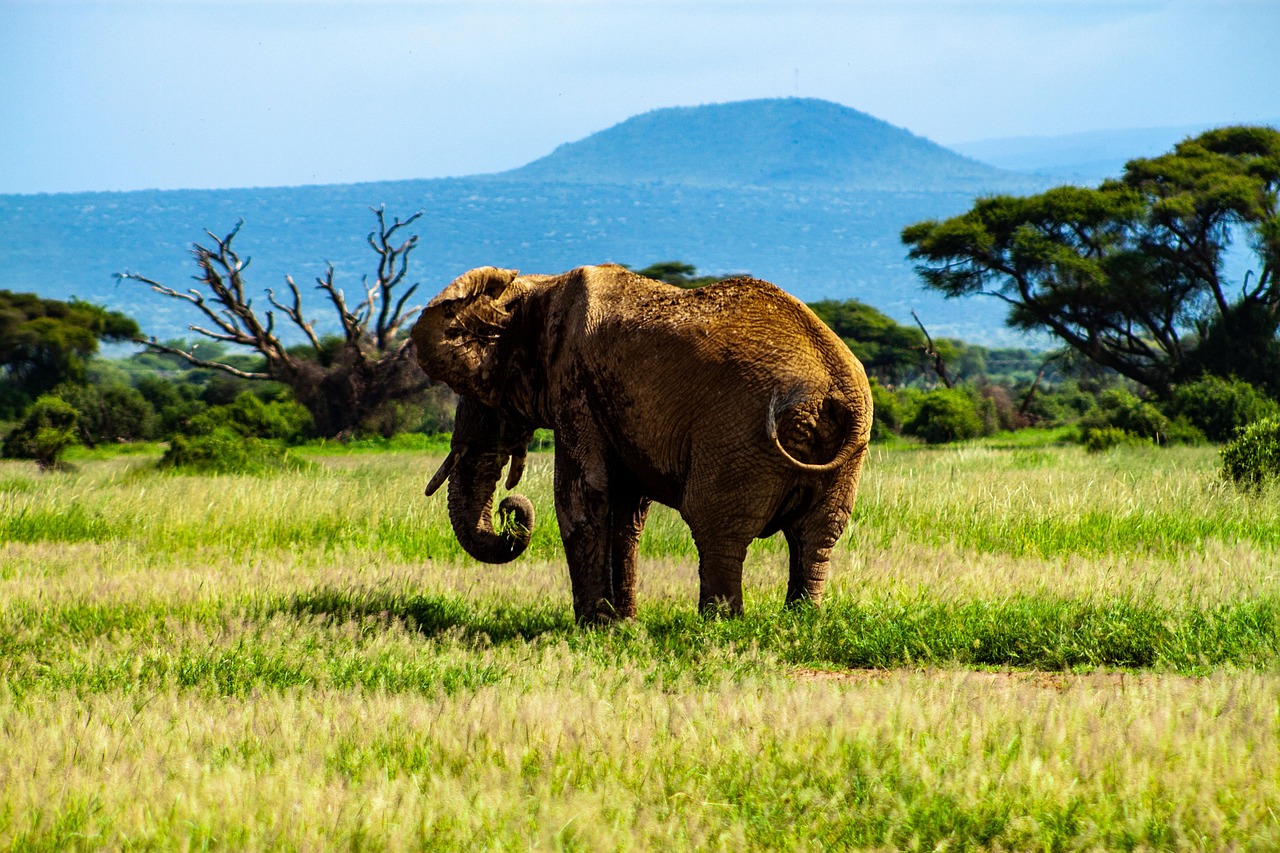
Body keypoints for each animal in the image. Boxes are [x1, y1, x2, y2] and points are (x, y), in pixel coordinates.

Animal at [412, 264, 872, 623]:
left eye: (481, 394)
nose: (511, 509)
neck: (538, 286)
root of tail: (832, 387)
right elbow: (626, 510)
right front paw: (624, 624)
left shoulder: (575, 384)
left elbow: (581, 497)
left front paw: (595, 628)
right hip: (845, 452)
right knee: (817, 534)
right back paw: (800, 618)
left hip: (738, 436)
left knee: (717, 527)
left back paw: (718, 625)